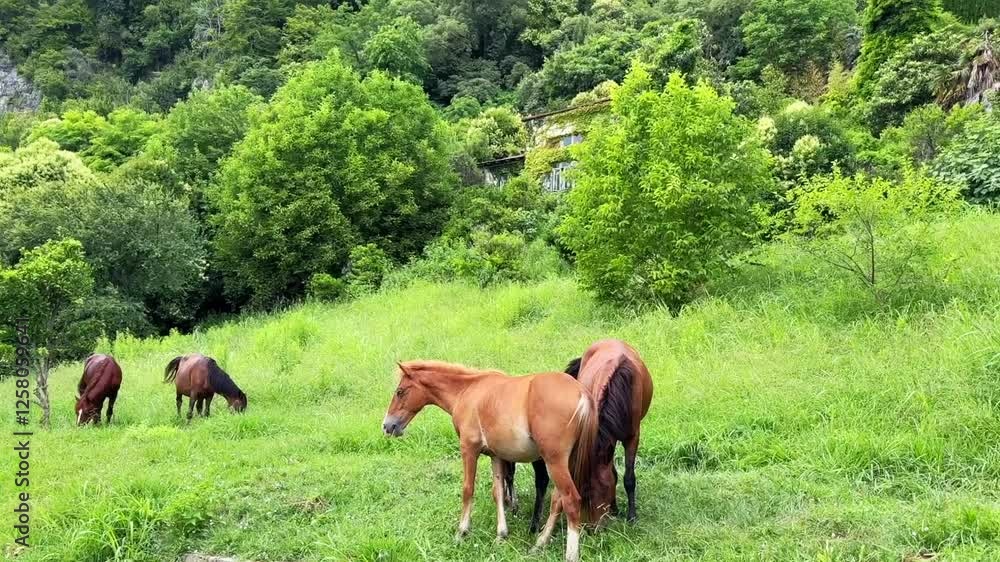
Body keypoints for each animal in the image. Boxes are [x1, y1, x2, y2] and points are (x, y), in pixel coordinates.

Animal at [382, 360, 598, 562]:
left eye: (400, 391)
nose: (387, 426)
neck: (467, 391)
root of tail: (581, 393)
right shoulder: (496, 455)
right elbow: (498, 492)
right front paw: (501, 534)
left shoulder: (469, 449)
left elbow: (468, 489)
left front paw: (462, 531)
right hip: (565, 462)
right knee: (557, 500)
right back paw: (540, 543)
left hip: (554, 461)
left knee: (570, 500)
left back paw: (569, 554)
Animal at [504, 339, 653, 527]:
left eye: (597, 490)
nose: (593, 527)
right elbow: (613, 471)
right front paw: (615, 508)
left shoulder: (633, 437)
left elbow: (629, 478)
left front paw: (631, 516)